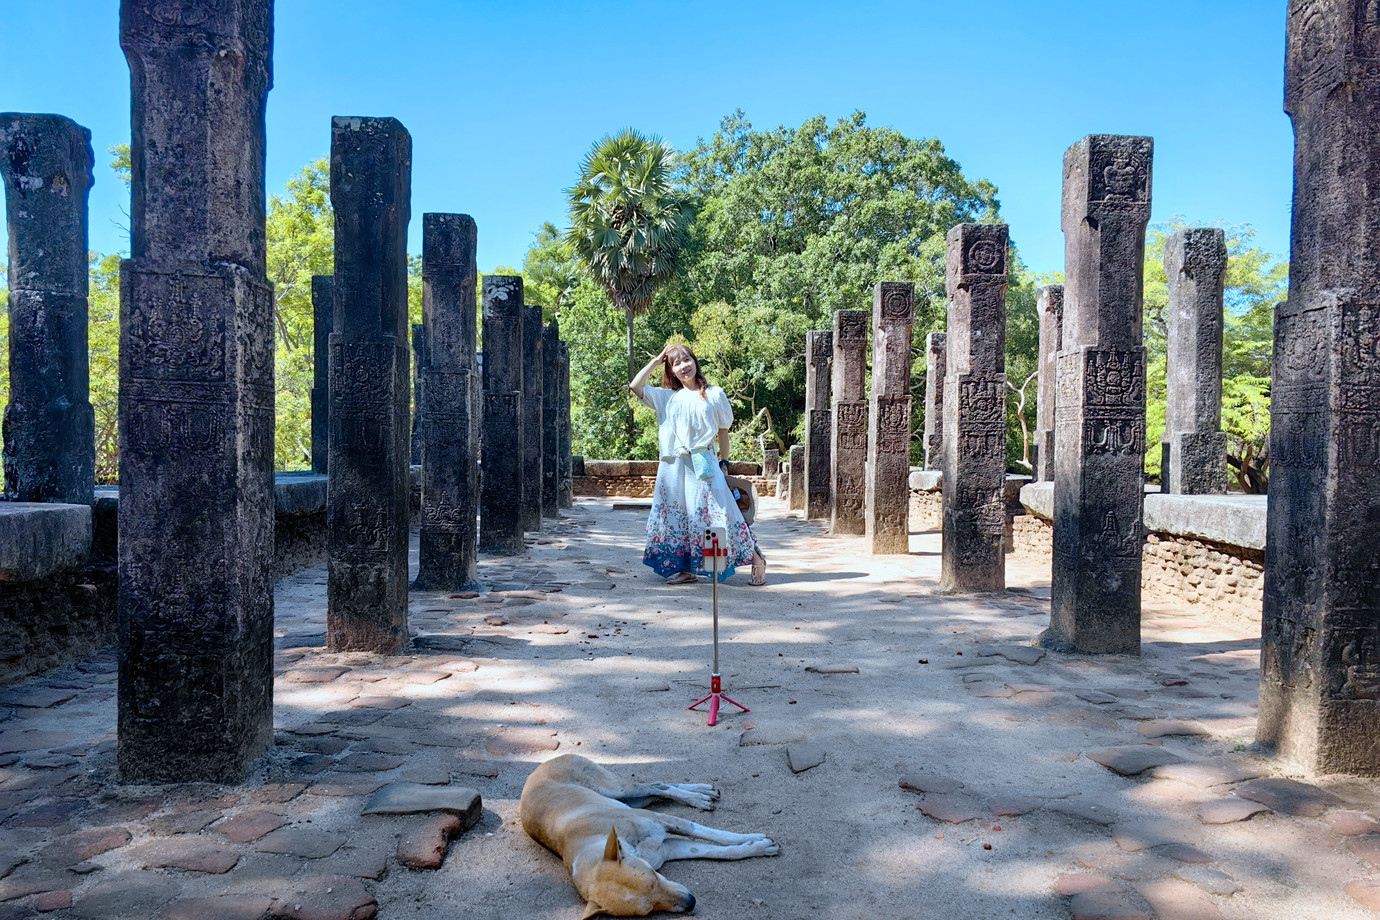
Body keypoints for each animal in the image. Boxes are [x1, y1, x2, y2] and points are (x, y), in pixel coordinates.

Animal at [518, 755, 783, 915]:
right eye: (648, 909)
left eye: (654, 878)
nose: (691, 902)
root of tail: (538, 767)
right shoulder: (669, 849)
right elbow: (720, 852)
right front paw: (757, 846)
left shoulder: (665, 822)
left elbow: (714, 834)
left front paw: (756, 839)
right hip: (633, 798)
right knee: (659, 788)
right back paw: (701, 792)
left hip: (618, 788)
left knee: (658, 786)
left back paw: (699, 796)